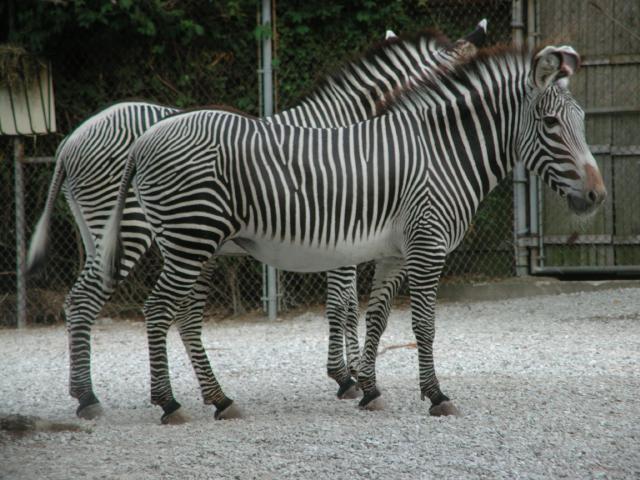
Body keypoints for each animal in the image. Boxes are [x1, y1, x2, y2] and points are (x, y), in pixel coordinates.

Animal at [27, 23, 488, 420]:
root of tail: (71, 139)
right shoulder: (343, 235)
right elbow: (342, 302)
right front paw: (351, 377)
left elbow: (346, 303)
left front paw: (351, 375)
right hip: (129, 230)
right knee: (87, 299)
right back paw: (92, 397)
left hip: (115, 233)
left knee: (95, 302)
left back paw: (98, 394)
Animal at [99, 44, 606, 423]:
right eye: (550, 124)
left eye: (581, 120)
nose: (598, 196)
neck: (442, 153)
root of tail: (146, 139)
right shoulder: (427, 247)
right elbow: (424, 324)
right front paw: (436, 395)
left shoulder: (393, 254)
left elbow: (377, 319)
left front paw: (369, 388)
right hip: (191, 238)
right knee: (157, 311)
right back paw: (168, 403)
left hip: (196, 245)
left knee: (184, 318)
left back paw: (220, 400)